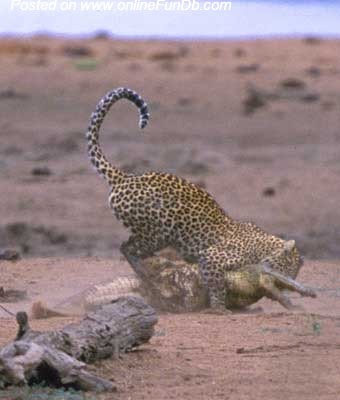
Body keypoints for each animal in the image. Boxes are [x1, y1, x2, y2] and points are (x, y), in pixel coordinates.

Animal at [86, 86, 304, 312]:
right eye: (285, 269)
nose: (287, 285)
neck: (262, 247)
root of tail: (126, 177)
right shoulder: (211, 257)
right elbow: (216, 285)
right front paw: (219, 308)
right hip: (156, 232)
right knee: (127, 247)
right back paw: (145, 270)